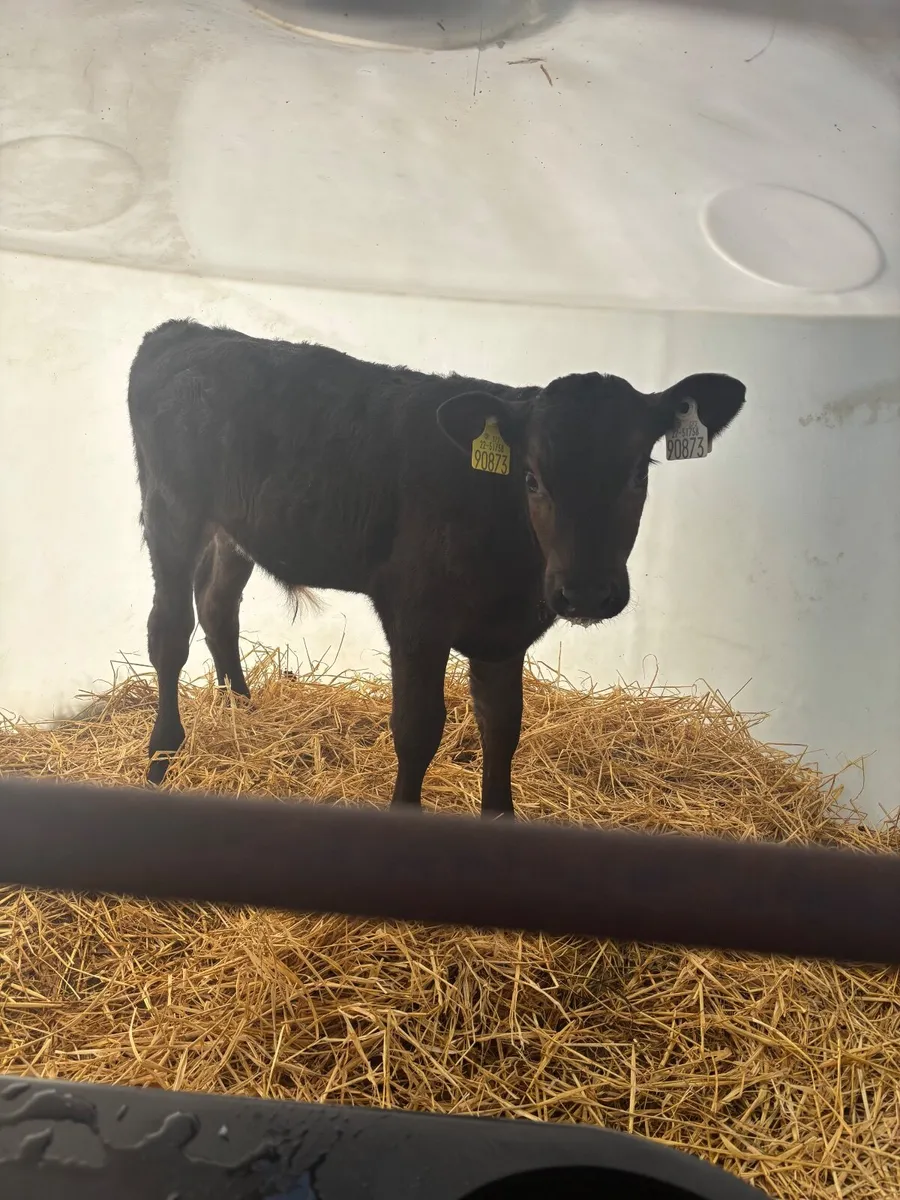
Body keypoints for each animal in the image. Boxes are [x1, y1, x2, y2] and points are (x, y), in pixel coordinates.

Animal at [127, 320, 745, 817]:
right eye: (531, 478)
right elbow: (418, 727)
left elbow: (502, 726)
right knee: (169, 630)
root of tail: (186, 331)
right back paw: (162, 754)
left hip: (231, 529)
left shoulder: (504, 634)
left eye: (640, 473)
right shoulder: (414, 615)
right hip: (171, 508)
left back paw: (244, 711)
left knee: (218, 607)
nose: (588, 593)